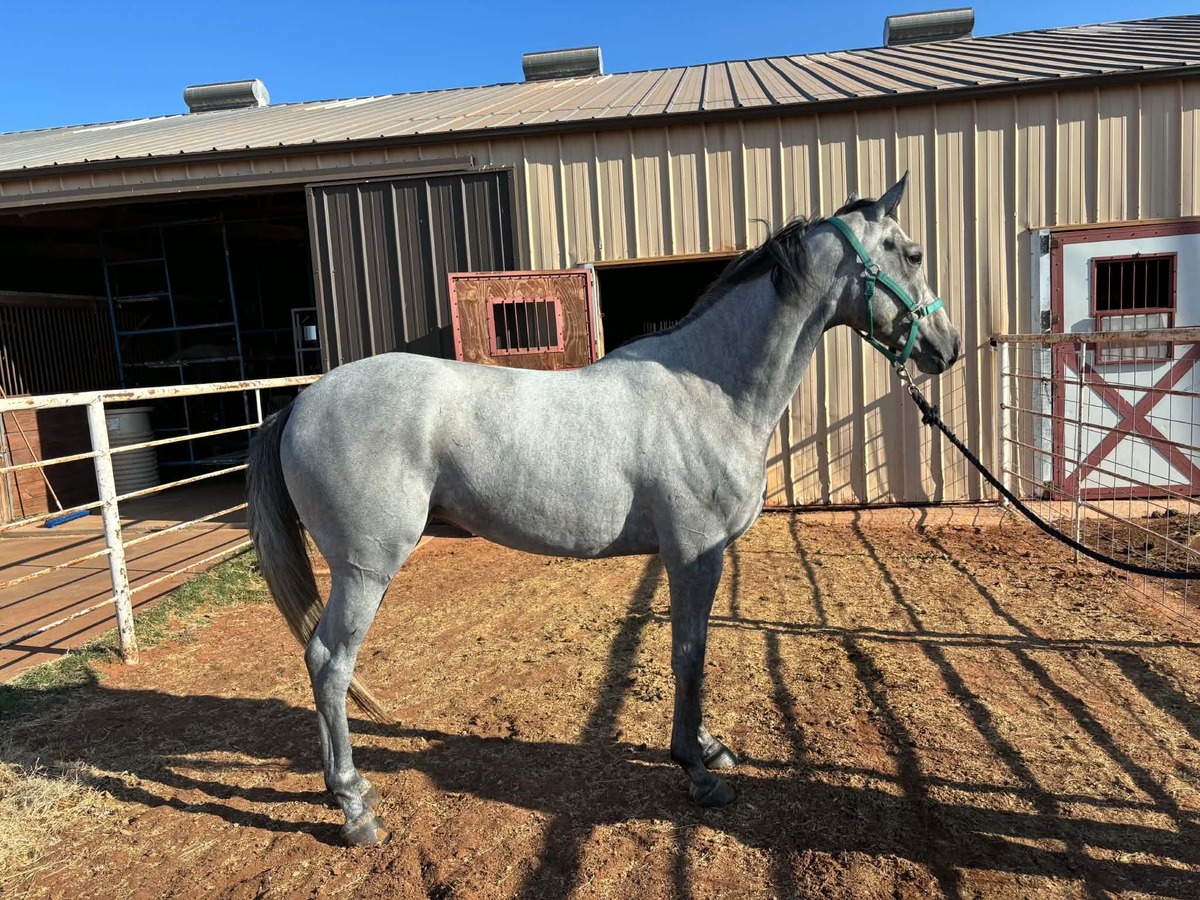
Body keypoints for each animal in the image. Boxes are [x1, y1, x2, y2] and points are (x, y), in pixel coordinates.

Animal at [246, 173, 961, 846]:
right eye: (913, 253)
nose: (946, 347)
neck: (707, 389)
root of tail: (302, 400)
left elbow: (691, 651)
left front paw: (707, 749)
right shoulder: (694, 556)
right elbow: (689, 655)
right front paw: (697, 771)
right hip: (365, 569)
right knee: (329, 663)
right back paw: (354, 806)